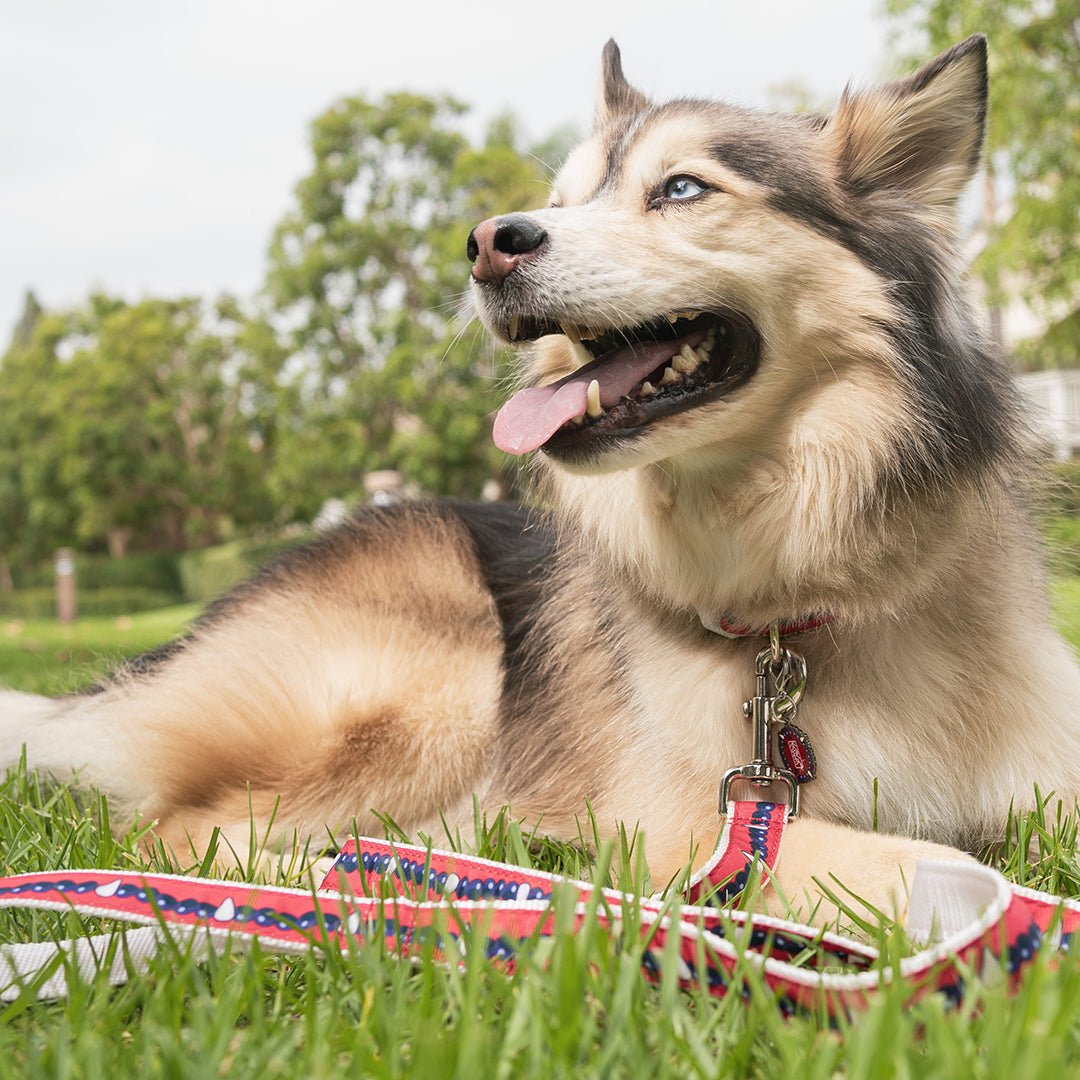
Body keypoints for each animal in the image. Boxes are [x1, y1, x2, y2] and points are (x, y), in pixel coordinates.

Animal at [2, 38, 1080, 924]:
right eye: (562, 202)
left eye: (681, 189)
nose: (487, 243)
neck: (807, 600)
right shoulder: (693, 825)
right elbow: (928, 865)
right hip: (437, 678)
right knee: (181, 832)